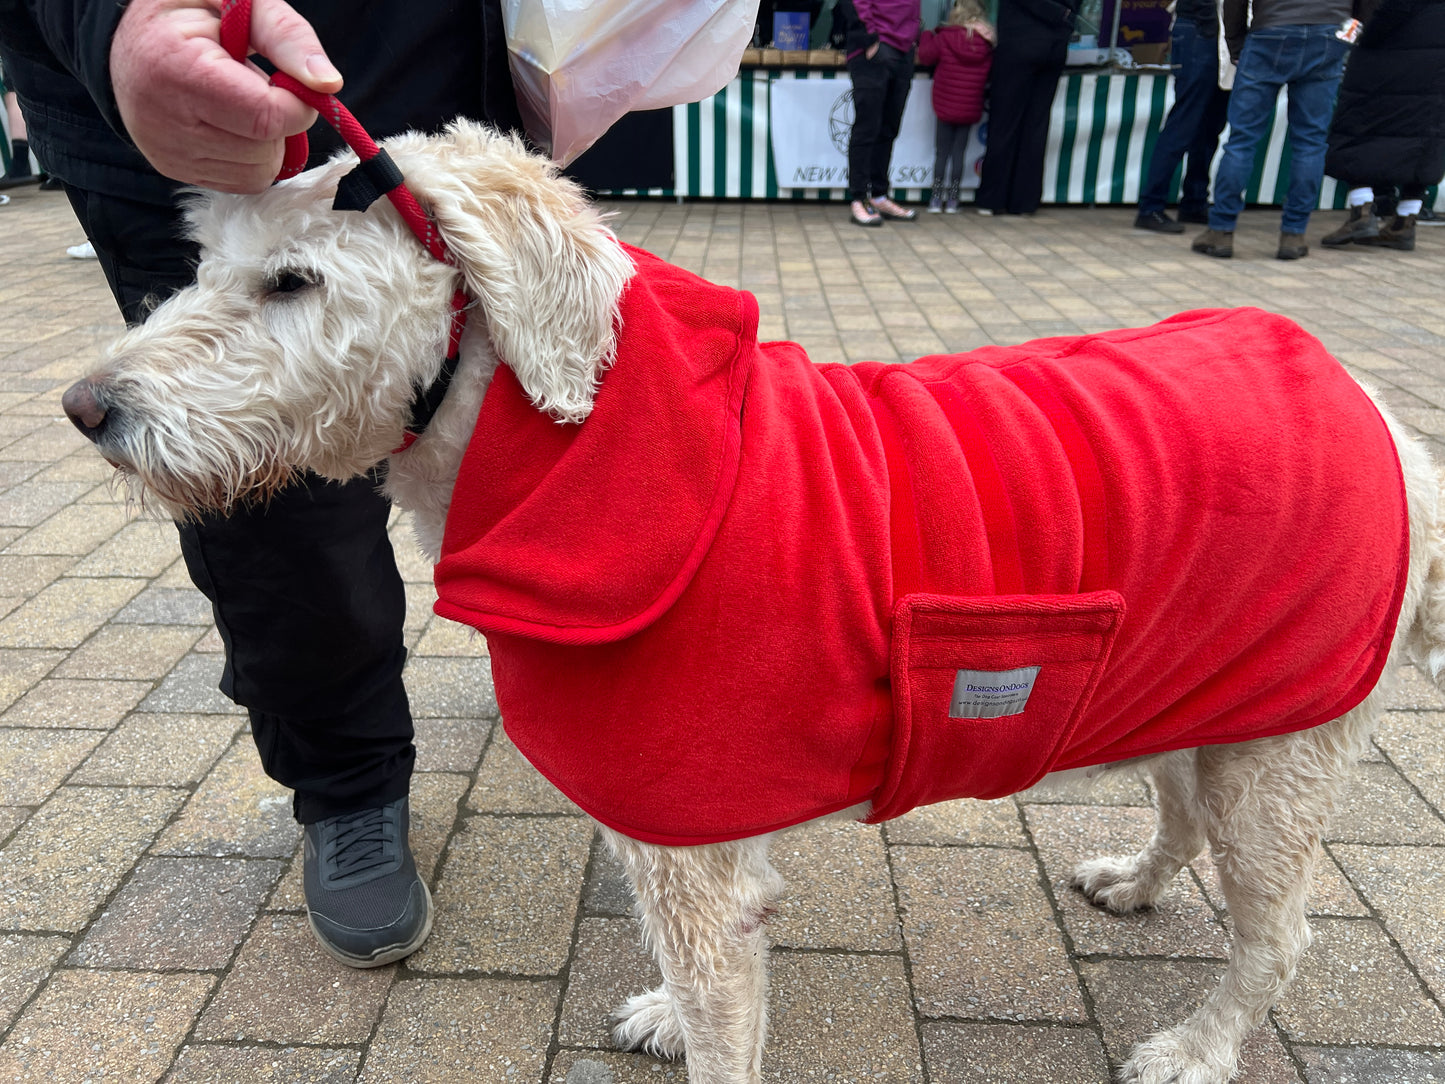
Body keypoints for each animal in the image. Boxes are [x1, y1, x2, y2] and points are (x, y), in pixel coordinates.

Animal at [62, 118, 1445, 1084]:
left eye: (294, 283)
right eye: (201, 263)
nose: (87, 409)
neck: (567, 444)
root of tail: (1389, 427)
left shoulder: (689, 853)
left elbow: (723, 1013)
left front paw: (691, 1025)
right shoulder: (689, 825)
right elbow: (702, 972)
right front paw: (667, 1014)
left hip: (1280, 749)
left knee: (1276, 934)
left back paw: (1198, 1046)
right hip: (1203, 693)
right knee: (1182, 813)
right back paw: (1138, 884)